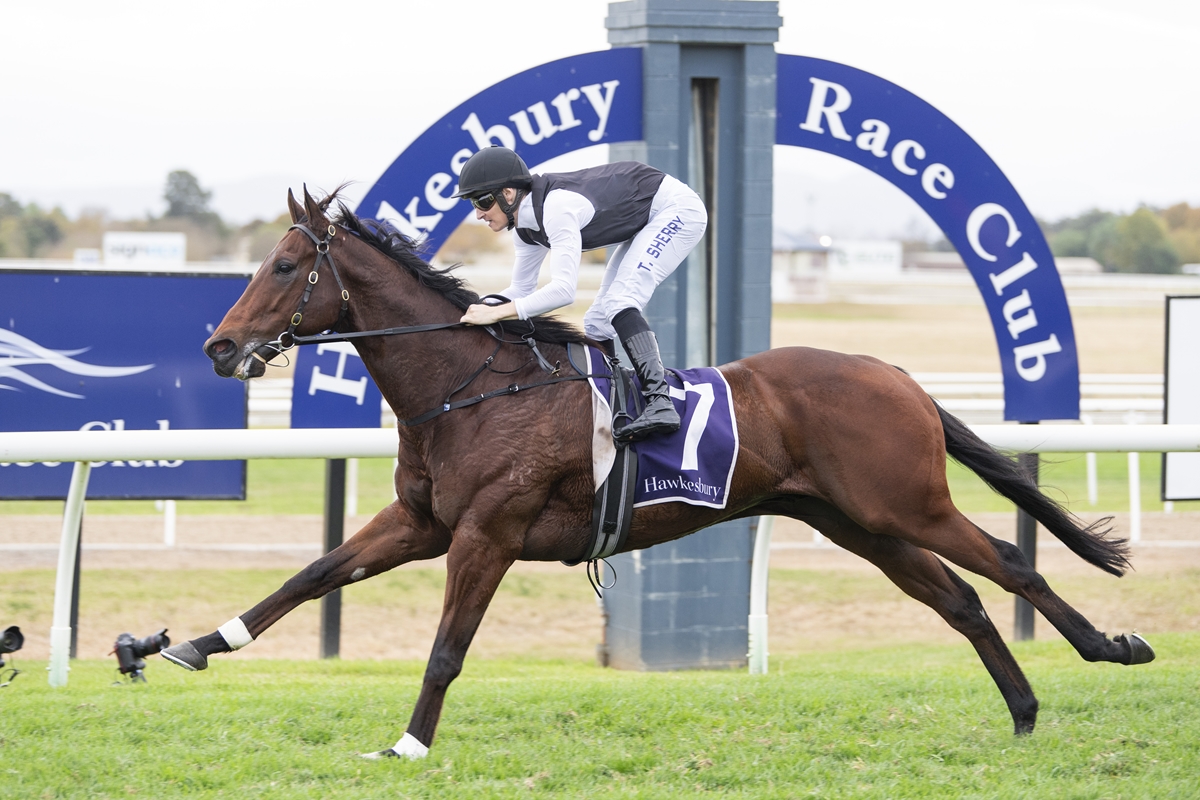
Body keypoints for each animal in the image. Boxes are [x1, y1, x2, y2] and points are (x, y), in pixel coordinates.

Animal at [163, 186, 1154, 759]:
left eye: (285, 264)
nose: (219, 347)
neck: (469, 385)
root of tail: (897, 373)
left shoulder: (487, 533)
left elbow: (447, 648)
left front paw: (408, 746)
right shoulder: (423, 523)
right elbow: (308, 576)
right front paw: (186, 645)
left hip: (904, 503)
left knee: (1011, 565)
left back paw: (1111, 649)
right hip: (857, 525)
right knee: (963, 600)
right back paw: (1023, 712)